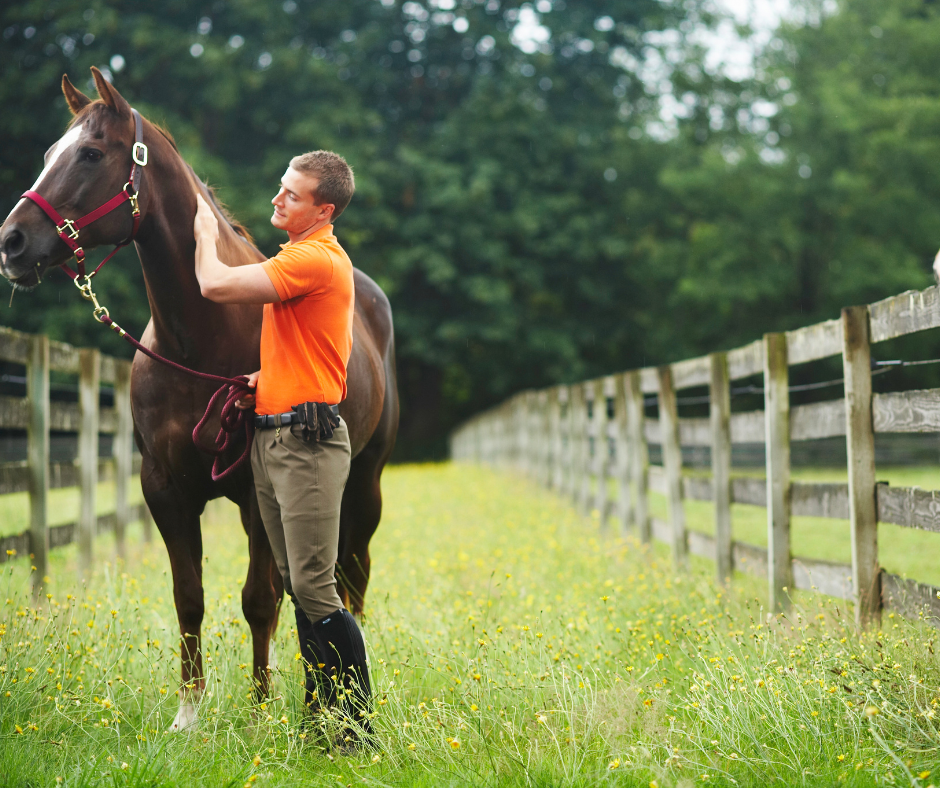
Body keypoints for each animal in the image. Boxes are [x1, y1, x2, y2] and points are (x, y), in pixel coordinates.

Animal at [0, 67, 398, 730]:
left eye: (90, 153)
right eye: (53, 151)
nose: (12, 241)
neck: (198, 341)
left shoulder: (258, 488)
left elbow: (258, 599)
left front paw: (259, 711)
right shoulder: (166, 488)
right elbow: (190, 596)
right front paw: (189, 712)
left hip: (363, 482)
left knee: (350, 575)